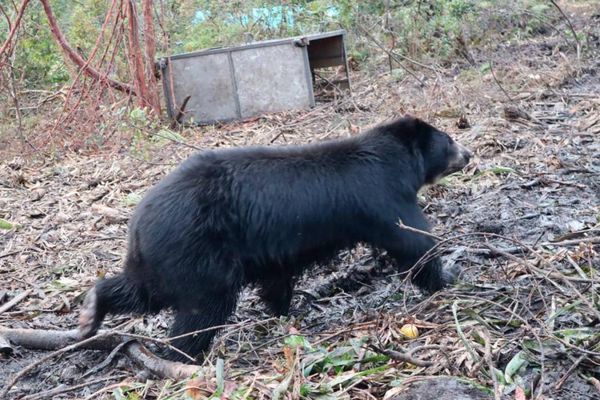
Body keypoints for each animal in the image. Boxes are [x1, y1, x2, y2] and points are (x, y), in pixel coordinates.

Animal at [79, 116, 474, 362]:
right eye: (449, 140)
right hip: (196, 250)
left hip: (165, 257)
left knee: (143, 291)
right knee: (204, 306)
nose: (469, 154)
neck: (398, 162)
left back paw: (90, 312)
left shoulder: (276, 248)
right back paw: (185, 353)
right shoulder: (383, 197)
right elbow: (412, 240)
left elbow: (276, 279)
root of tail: (138, 221)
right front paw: (447, 276)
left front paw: (283, 310)